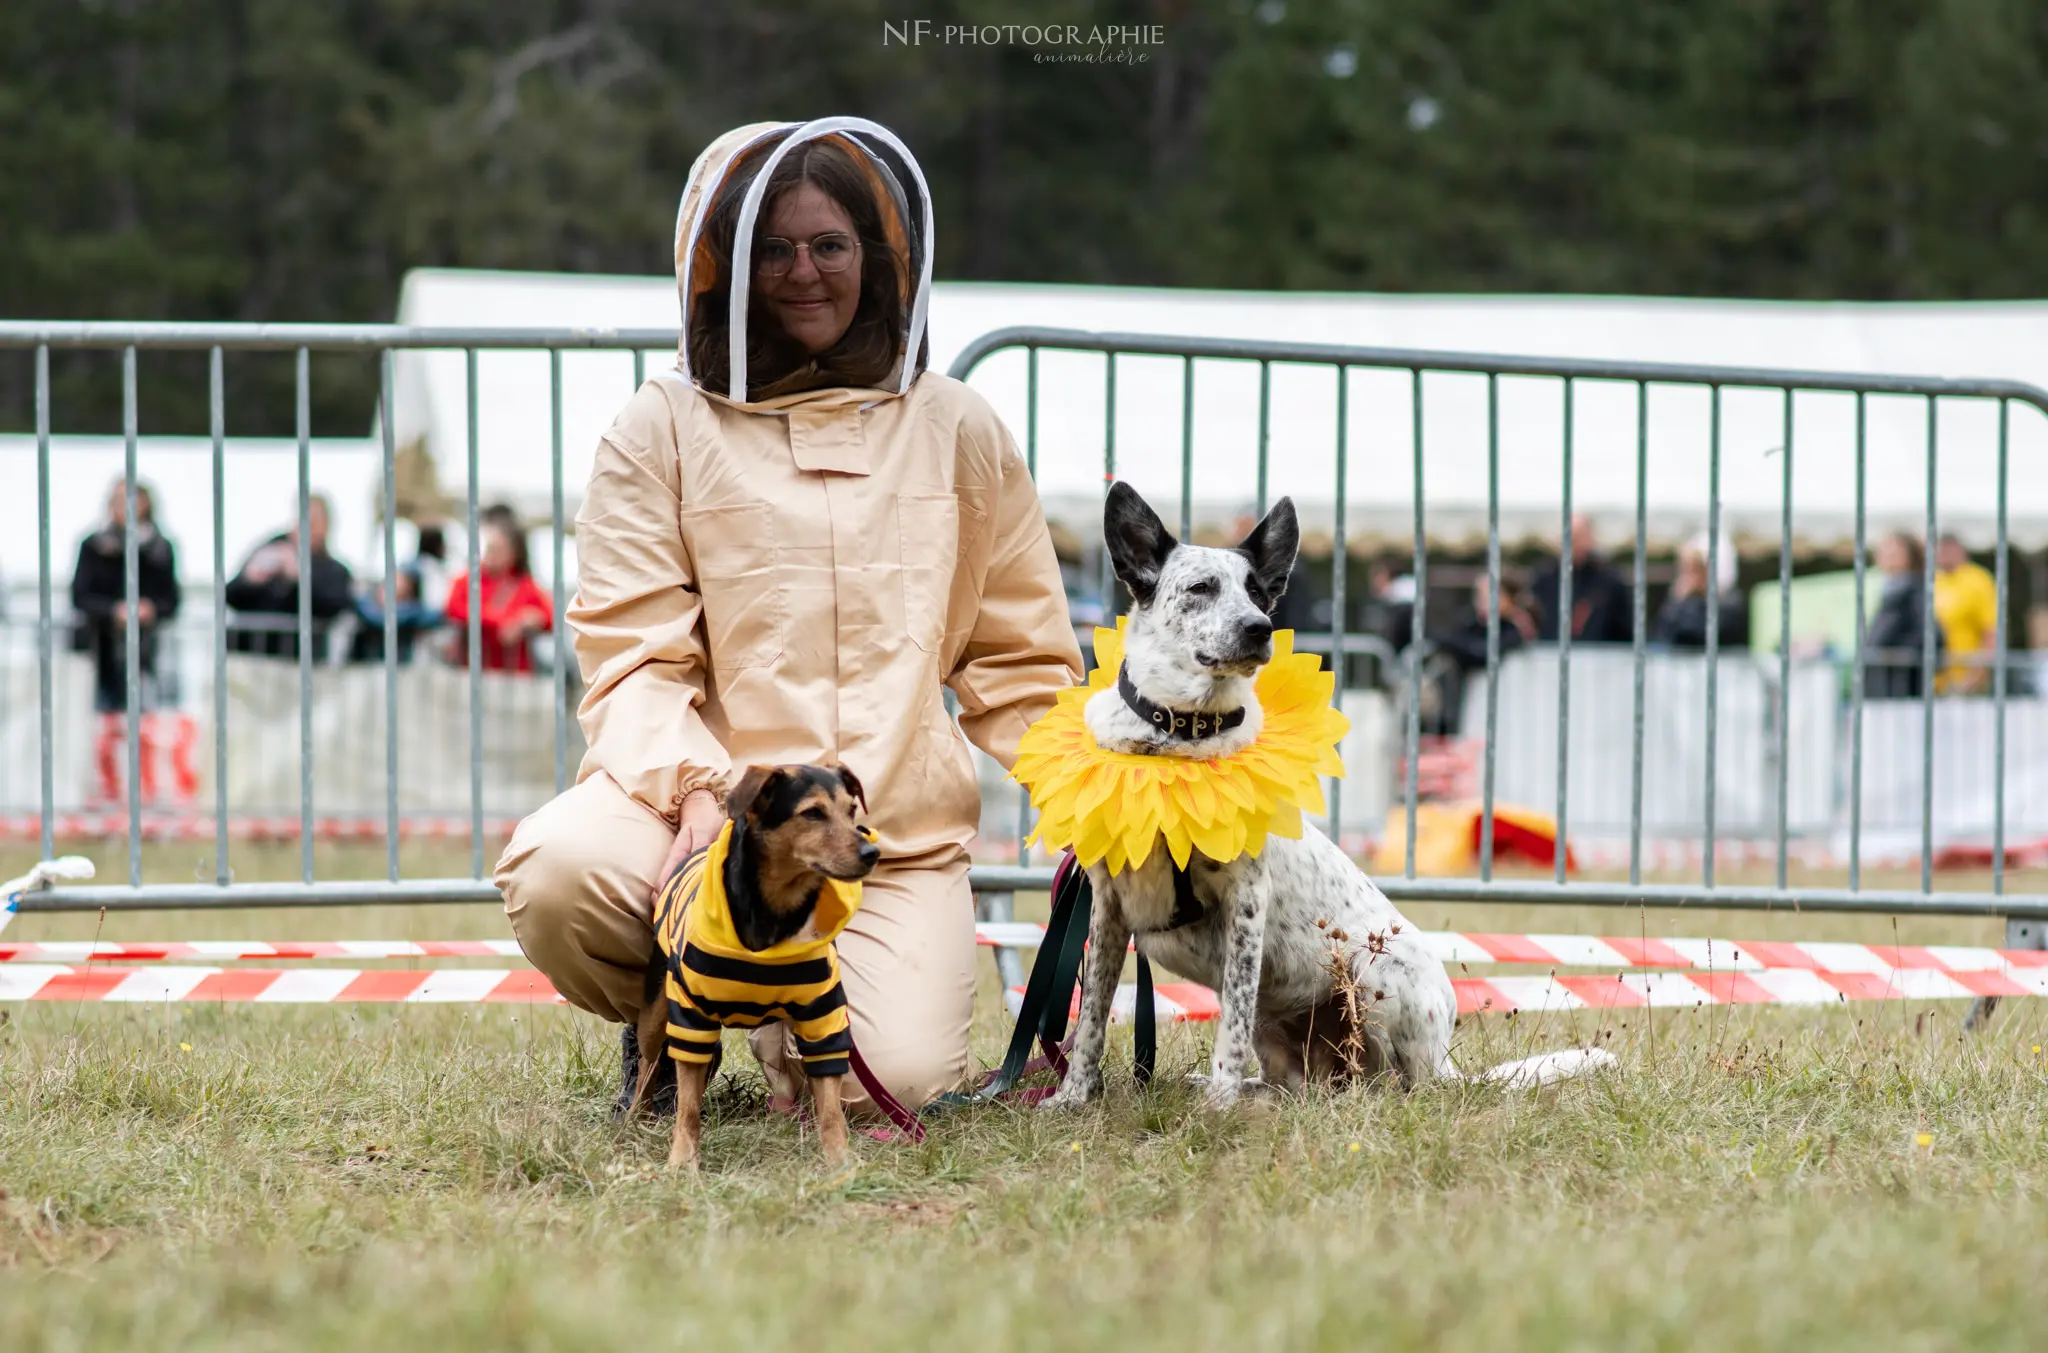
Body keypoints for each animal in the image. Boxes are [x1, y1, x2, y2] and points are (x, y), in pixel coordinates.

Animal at [626, 761, 876, 1170]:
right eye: (812, 813)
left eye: (852, 810)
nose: (873, 851)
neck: (775, 912)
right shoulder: (690, 1017)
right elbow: (687, 1108)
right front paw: (682, 1162)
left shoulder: (822, 1017)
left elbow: (830, 1109)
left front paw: (840, 1162)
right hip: (656, 1011)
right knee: (649, 1064)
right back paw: (633, 1117)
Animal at [1048, 485, 1605, 1105]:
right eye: (1201, 588)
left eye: (1258, 592)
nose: (1259, 627)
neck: (1175, 743)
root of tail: (1445, 1067)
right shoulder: (1107, 908)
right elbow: (1091, 1018)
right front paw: (1073, 1097)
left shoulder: (1247, 902)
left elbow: (1228, 1025)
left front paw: (1218, 1106)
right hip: (1289, 1035)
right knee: (1293, 1083)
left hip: (1375, 978)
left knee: (1389, 1084)